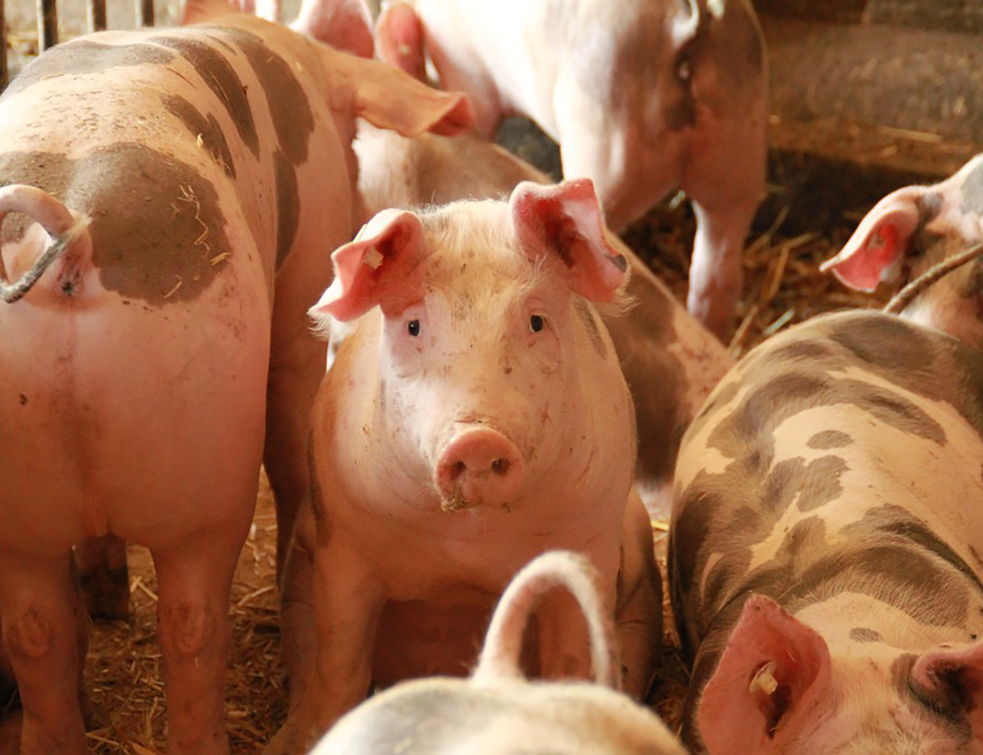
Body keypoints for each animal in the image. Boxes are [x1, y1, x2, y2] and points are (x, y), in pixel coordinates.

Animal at [0, 0, 470, 750]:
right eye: (350, 142)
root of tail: (70, 238)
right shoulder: (301, 282)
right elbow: (292, 414)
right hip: (207, 463)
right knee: (192, 620)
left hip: (24, 505)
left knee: (37, 629)